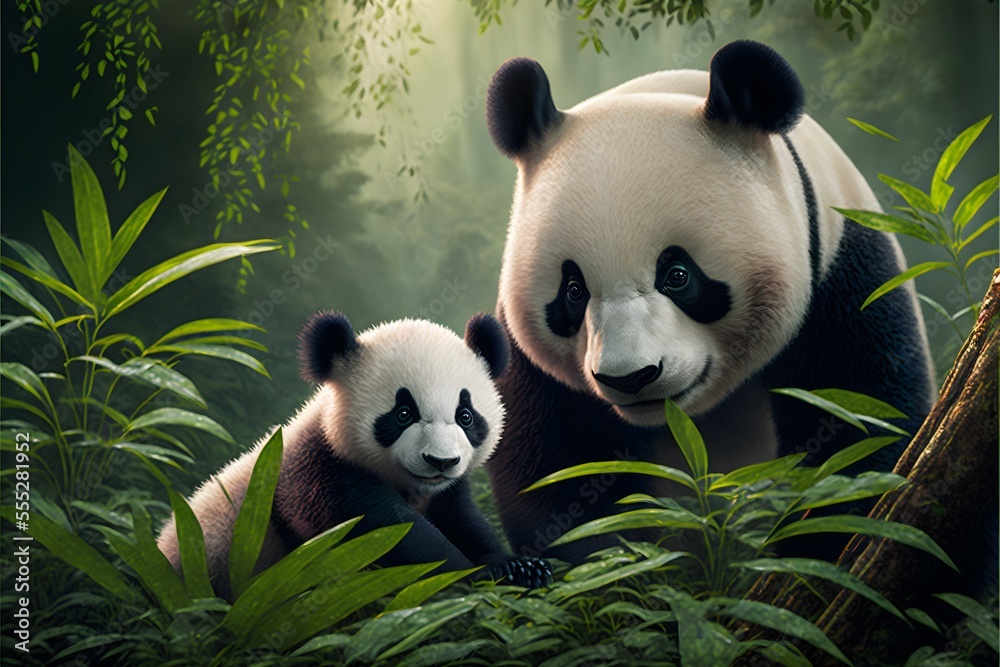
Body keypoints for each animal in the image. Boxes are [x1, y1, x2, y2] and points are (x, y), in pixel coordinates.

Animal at [157, 311, 552, 600]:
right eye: (403, 413)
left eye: (465, 416)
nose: (440, 462)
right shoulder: (316, 474)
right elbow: (388, 535)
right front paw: (478, 572)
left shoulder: (446, 490)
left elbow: (465, 519)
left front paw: (518, 565)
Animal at [482, 40, 935, 564]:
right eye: (573, 290)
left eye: (678, 275)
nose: (630, 377)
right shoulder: (535, 367)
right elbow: (559, 480)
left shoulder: (844, 270)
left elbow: (859, 425)